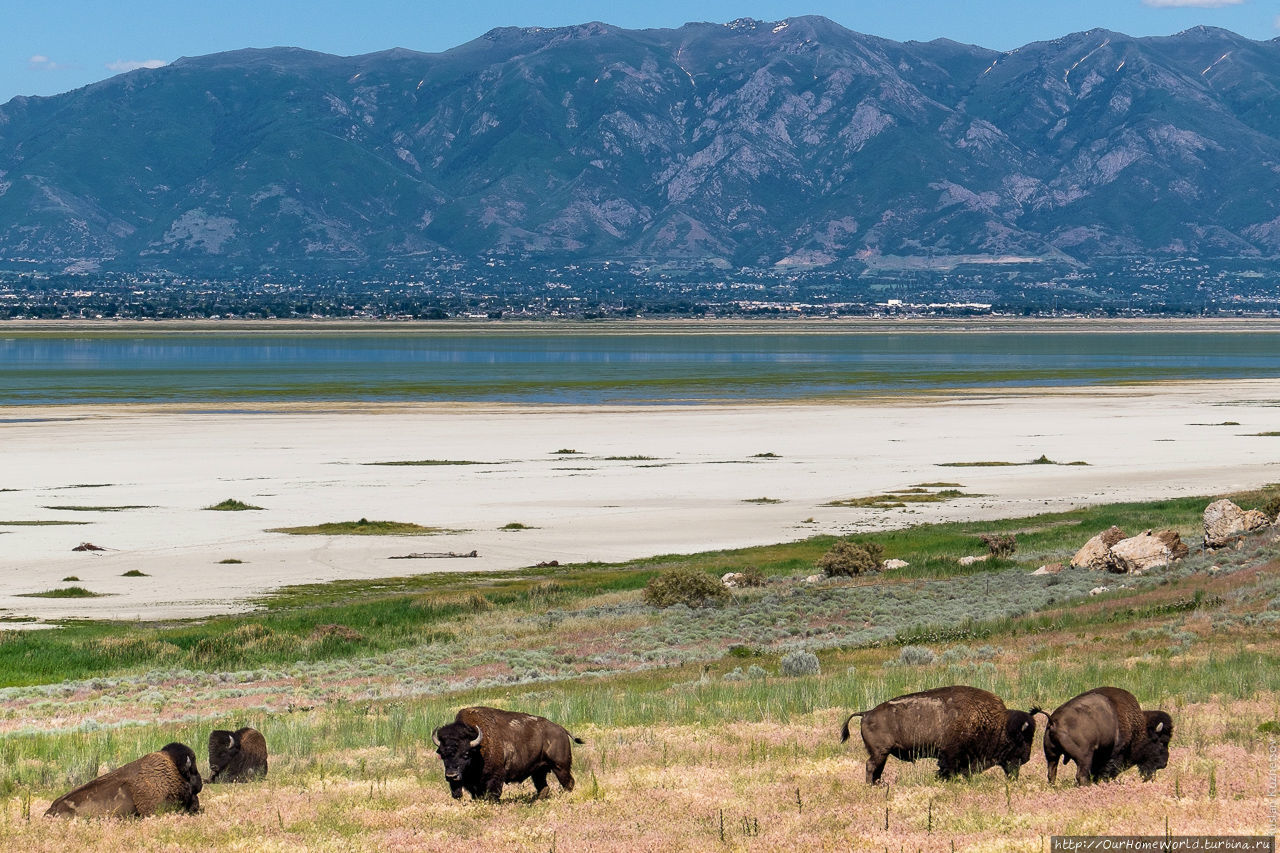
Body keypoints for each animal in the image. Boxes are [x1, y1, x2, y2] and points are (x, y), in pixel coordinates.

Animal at [435, 701, 586, 799]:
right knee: (544, 787)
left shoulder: (494, 778)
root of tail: (561, 729)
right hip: (538, 771)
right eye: (442, 755)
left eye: (466, 754)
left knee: (568, 783)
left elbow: (492, 795)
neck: (478, 748)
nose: (451, 776)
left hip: (560, 767)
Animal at [839, 686, 1039, 783]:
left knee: (877, 767)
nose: (1026, 758)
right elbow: (947, 769)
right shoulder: (950, 755)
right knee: (871, 766)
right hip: (880, 752)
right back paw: (870, 785)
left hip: (882, 753)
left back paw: (878, 784)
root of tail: (866, 713)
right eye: (1020, 740)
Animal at [1039, 686, 1172, 783]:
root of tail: (1053, 720)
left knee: (1051, 773)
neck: (1138, 728)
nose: (1164, 763)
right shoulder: (1115, 754)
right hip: (1084, 757)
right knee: (1081, 775)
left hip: (1051, 755)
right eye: (1161, 742)